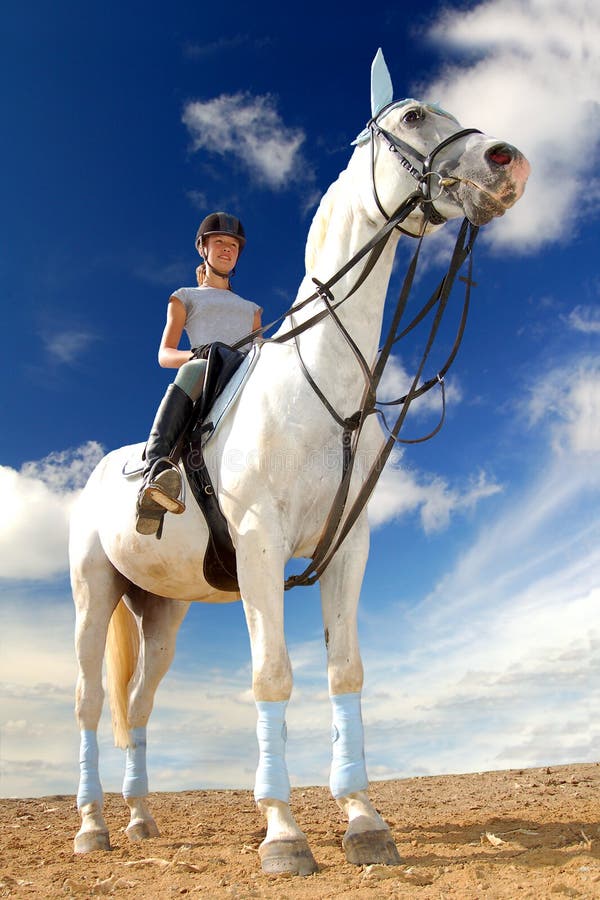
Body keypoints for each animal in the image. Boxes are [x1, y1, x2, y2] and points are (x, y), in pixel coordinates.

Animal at [70, 50, 530, 875]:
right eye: (414, 116)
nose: (507, 162)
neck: (324, 391)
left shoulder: (346, 550)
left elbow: (344, 670)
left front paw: (364, 821)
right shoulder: (259, 546)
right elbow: (272, 676)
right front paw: (283, 833)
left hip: (161, 614)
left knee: (138, 706)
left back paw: (141, 820)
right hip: (95, 596)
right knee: (92, 703)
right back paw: (92, 825)